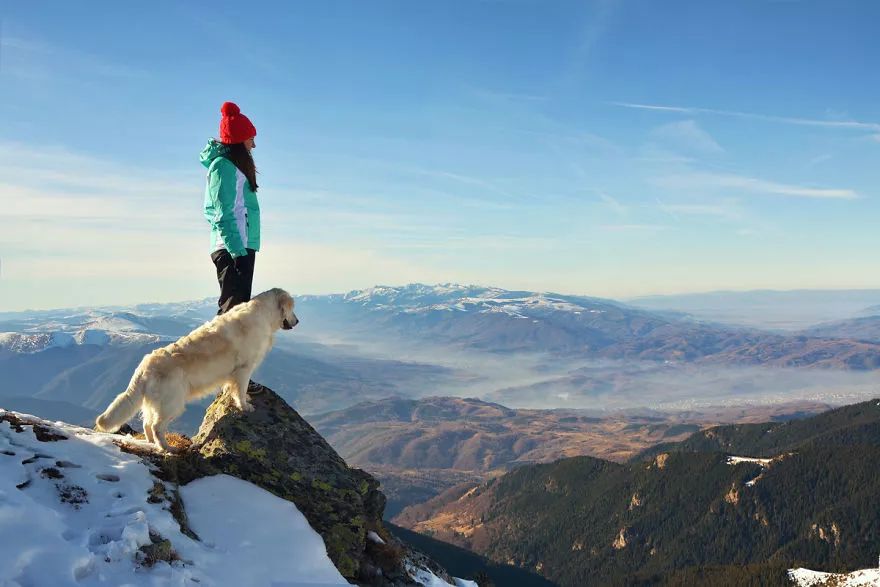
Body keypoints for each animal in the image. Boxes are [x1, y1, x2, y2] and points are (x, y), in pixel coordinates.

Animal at [95, 288, 298, 450]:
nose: (297, 321)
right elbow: (240, 389)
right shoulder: (244, 368)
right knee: (156, 426)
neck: (263, 313)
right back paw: (168, 448)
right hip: (173, 402)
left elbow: (234, 388)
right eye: (292, 308)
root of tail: (145, 366)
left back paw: (152, 443)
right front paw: (244, 405)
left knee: (147, 424)